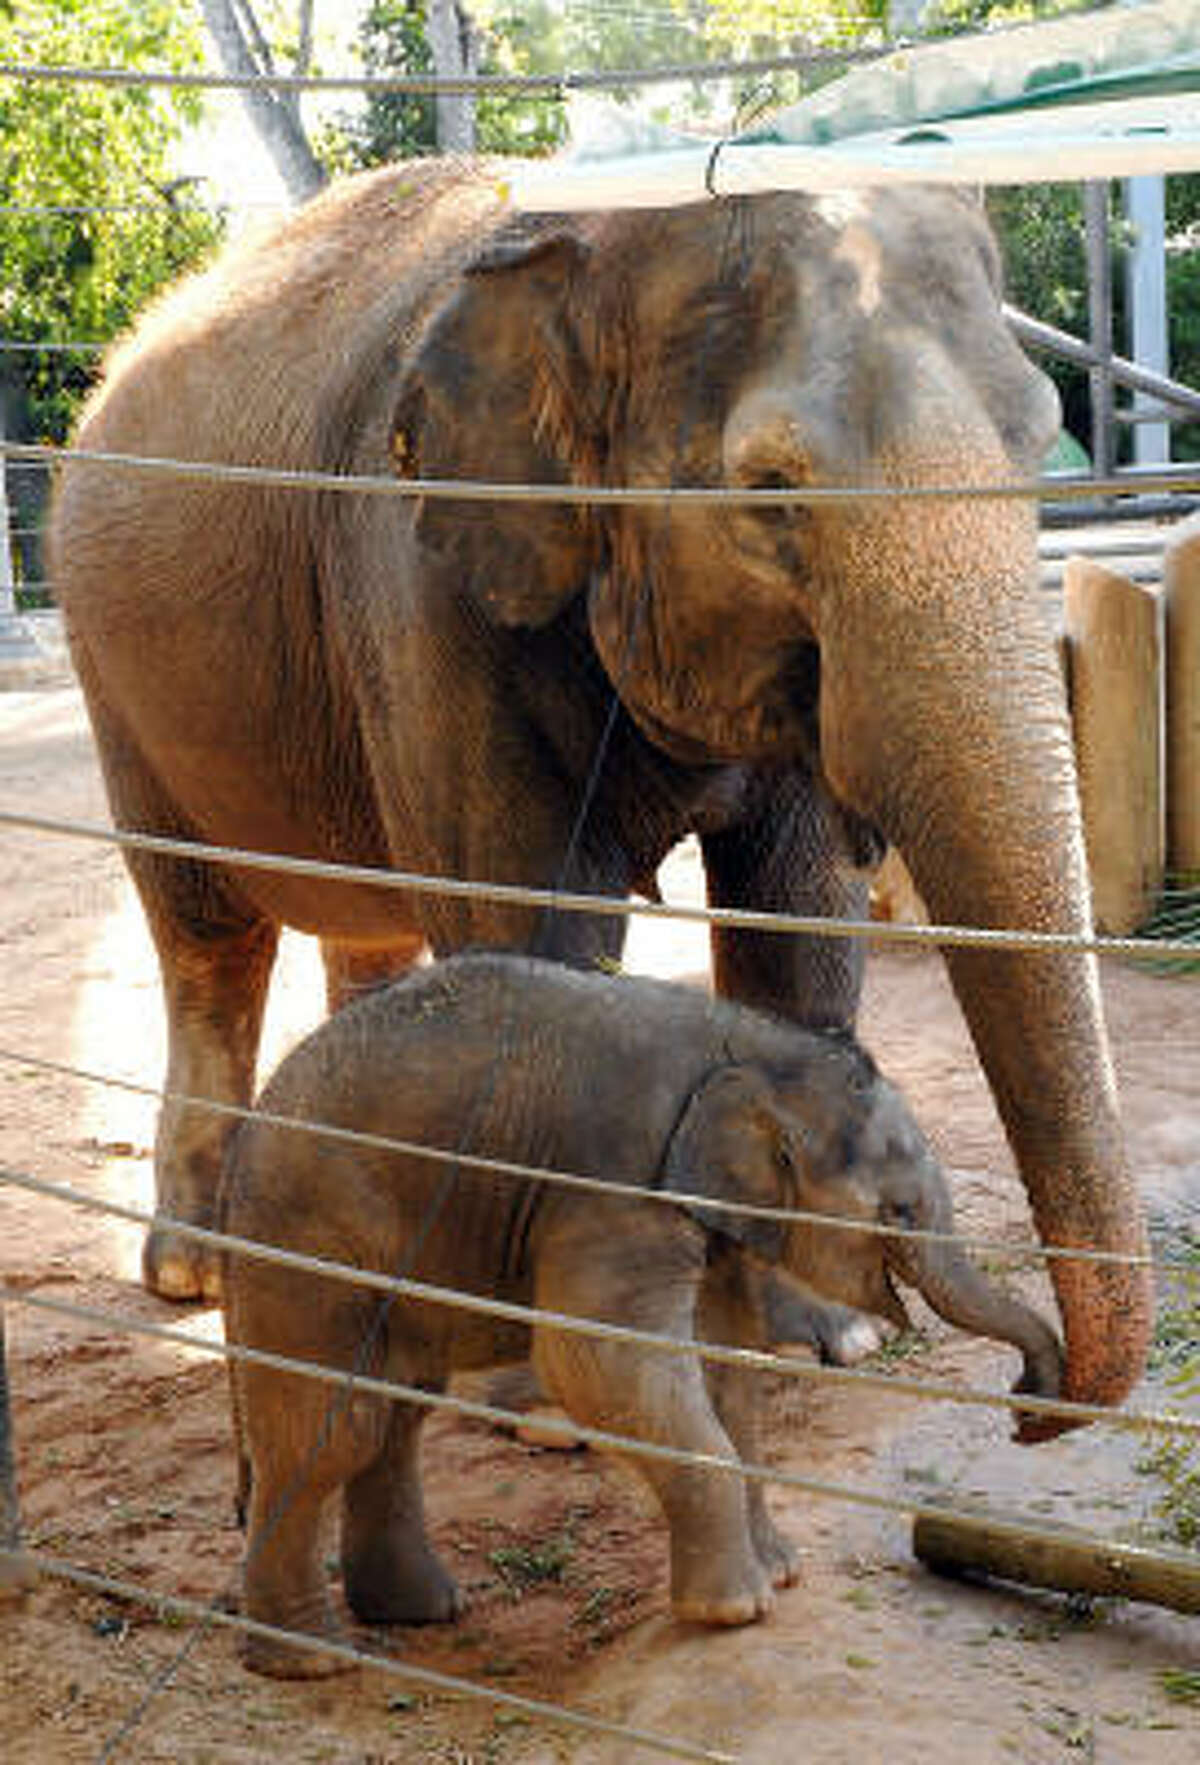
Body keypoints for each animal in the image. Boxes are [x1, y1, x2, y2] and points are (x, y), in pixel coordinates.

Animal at [49, 162, 1150, 1433]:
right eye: (772, 490)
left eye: (1039, 441)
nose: (1033, 1397)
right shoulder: (415, 581)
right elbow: (533, 926)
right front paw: (551, 1397)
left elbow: (798, 919)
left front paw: (826, 1338)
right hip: (115, 680)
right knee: (206, 939)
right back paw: (200, 1268)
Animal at [222, 960, 1058, 1673]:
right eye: (900, 1210)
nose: (1029, 1406)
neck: (747, 1043)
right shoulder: (615, 1187)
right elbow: (599, 1362)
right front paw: (735, 1611)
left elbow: (726, 1361)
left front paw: (781, 1570)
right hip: (306, 1249)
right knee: (338, 1429)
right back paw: (313, 1659)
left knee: (397, 1412)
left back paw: (420, 1612)